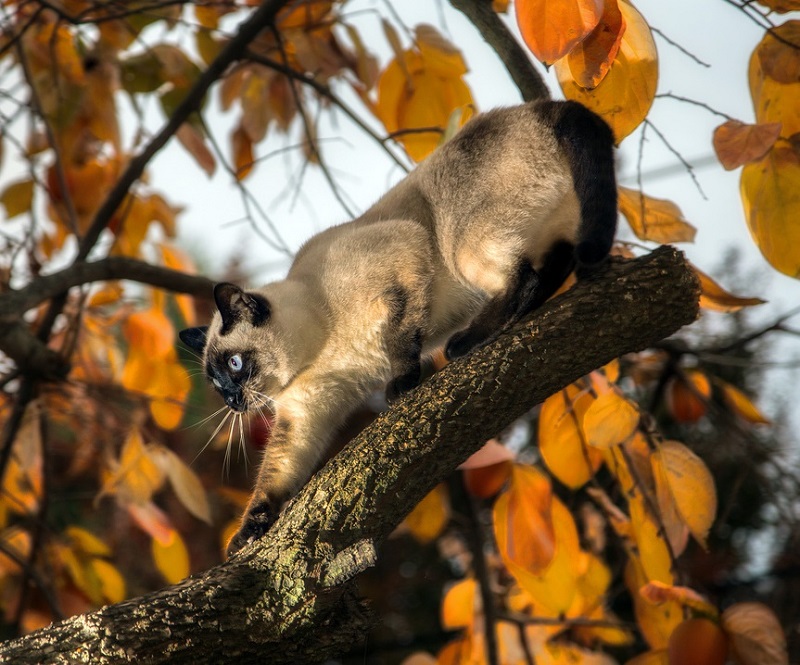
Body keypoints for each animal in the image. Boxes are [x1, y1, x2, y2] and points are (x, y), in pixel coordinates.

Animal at [181, 100, 620, 556]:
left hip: (461, 245)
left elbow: (400, 342)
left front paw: (402, 385)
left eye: (234, 365)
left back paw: (467, 342)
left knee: (525, 278)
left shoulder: (401, 266)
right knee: (554, 267)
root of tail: (545, 106)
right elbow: (276, 474)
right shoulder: (304, 416)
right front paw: (248, 531)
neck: (318, 347)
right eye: (217, 384)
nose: (233, 402)